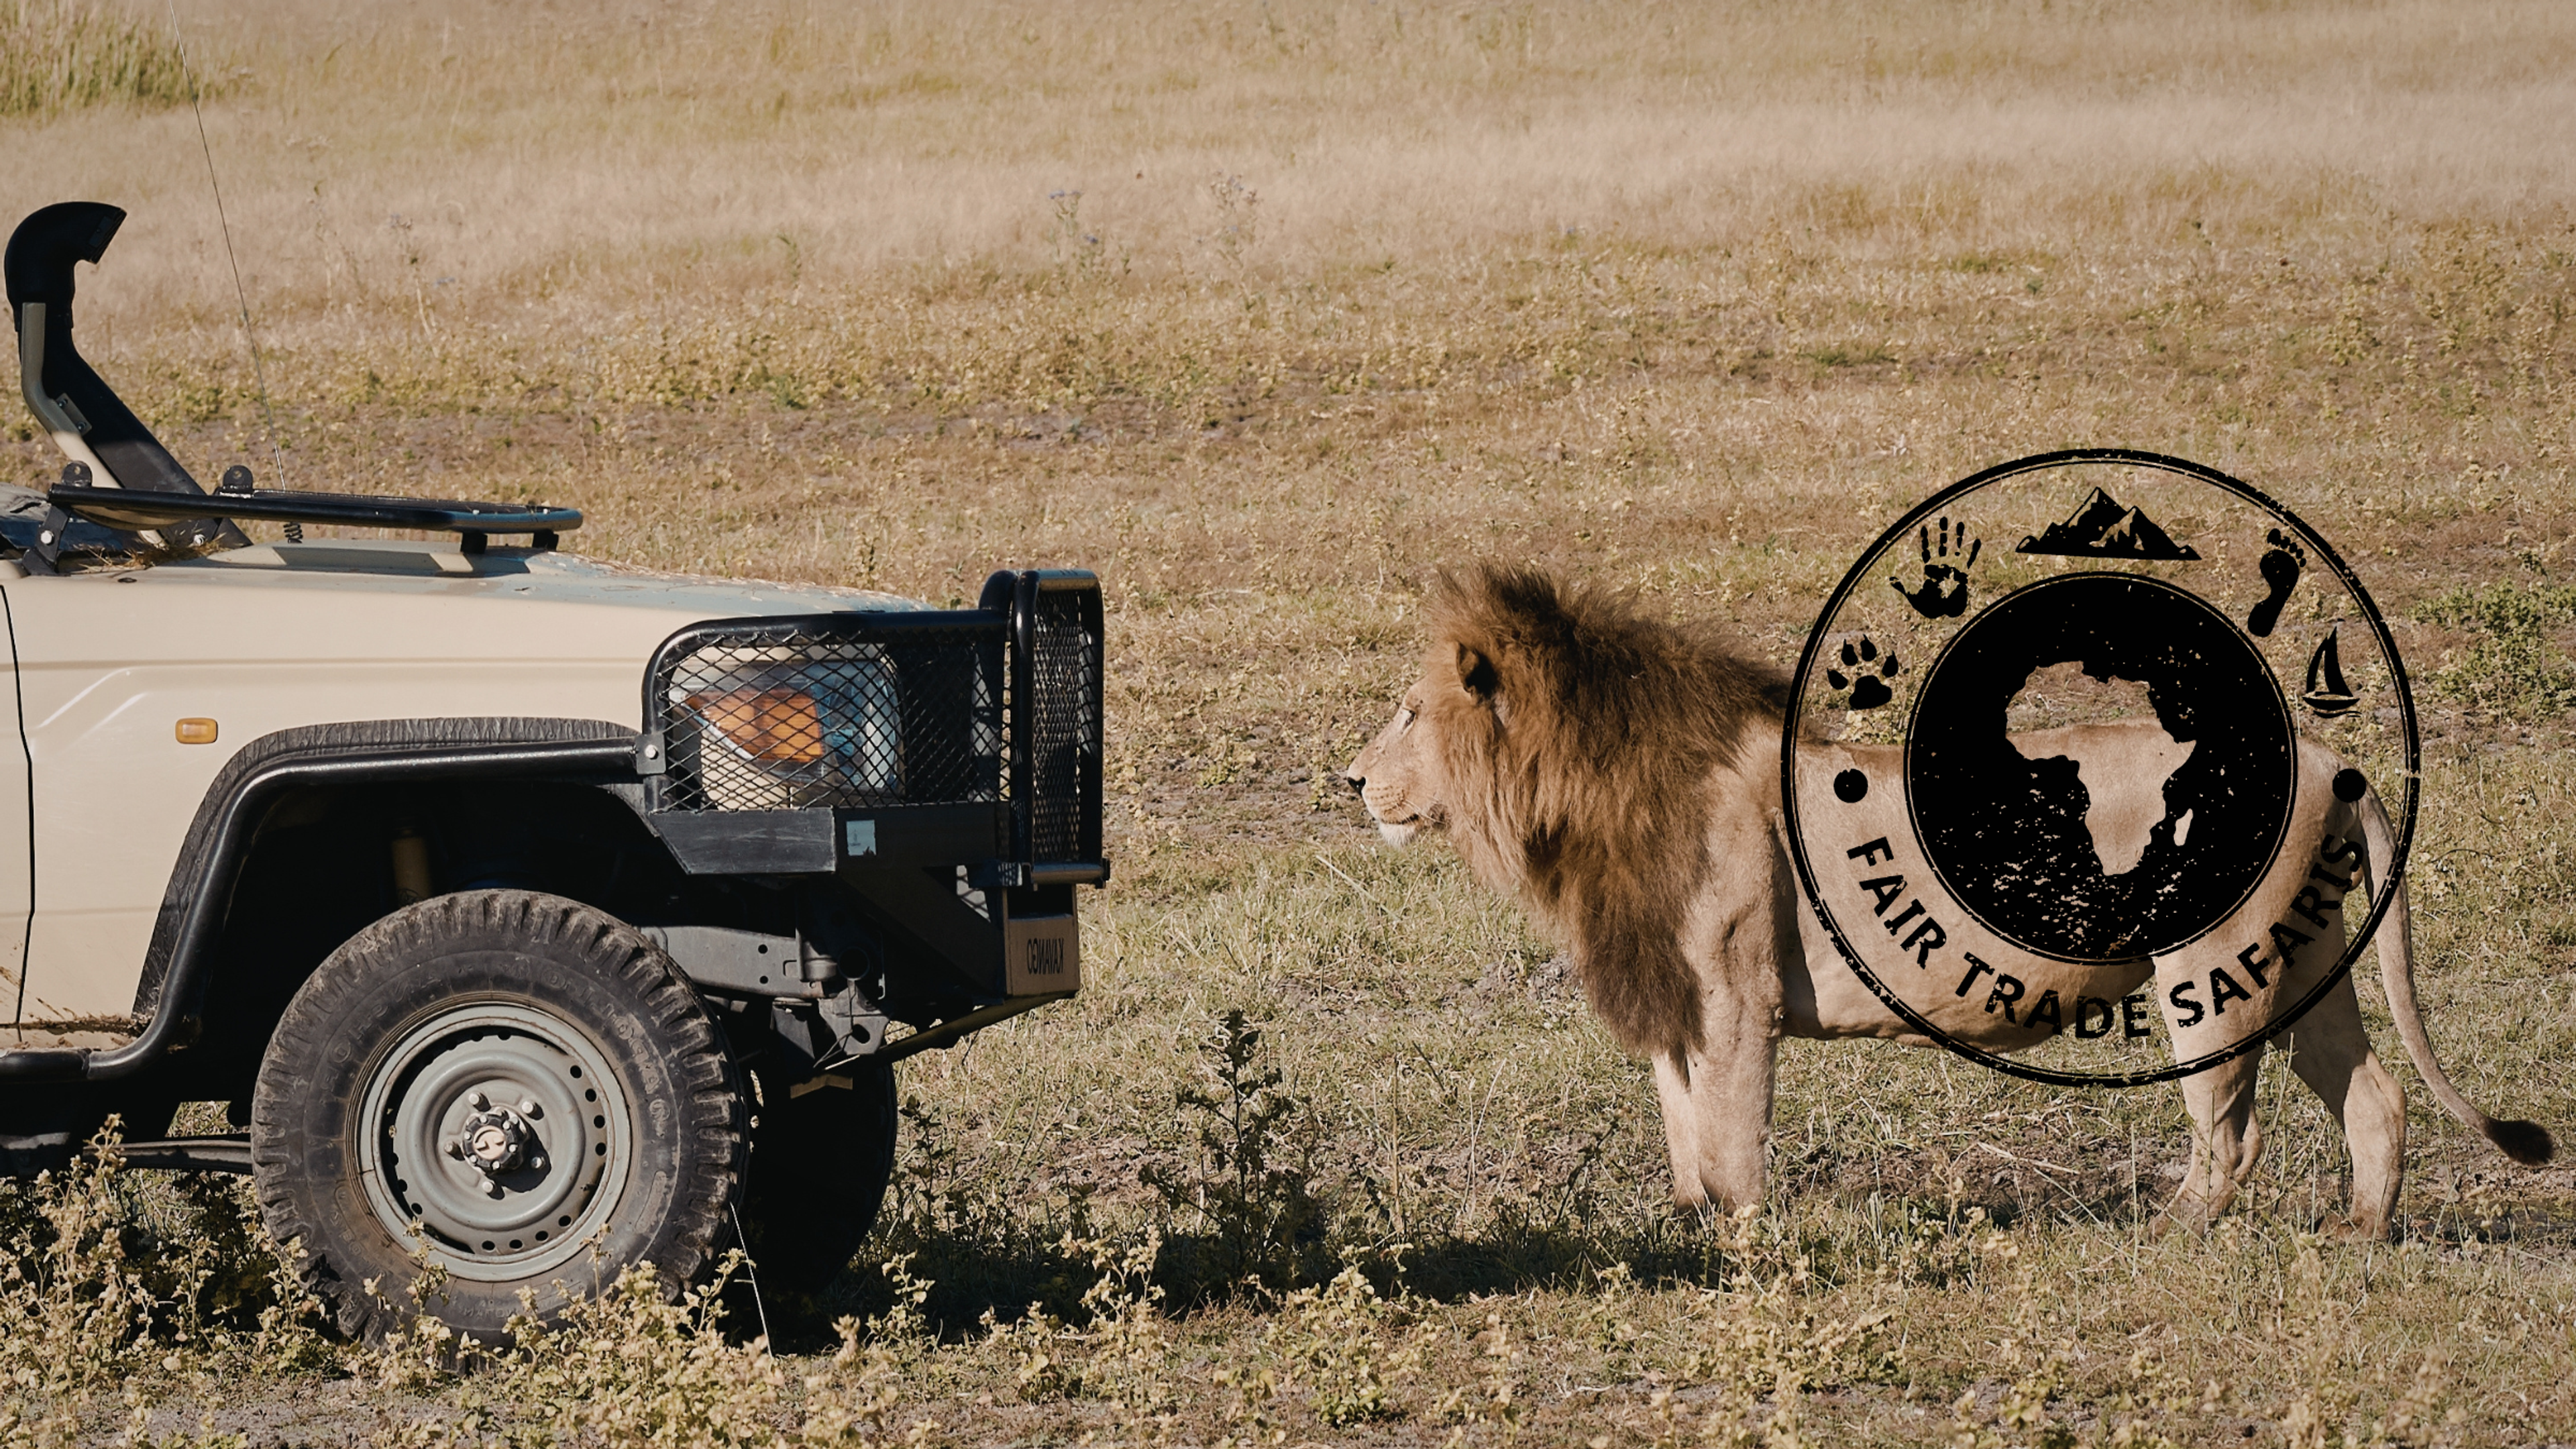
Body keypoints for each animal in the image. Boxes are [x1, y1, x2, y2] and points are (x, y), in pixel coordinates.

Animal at [1344, 564, 2552, 1238]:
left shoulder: (1733, 990)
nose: (1351, 779)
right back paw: (2359, 1232)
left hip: (2211, 971)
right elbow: (1682, 1118)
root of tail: (2330, 757)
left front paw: (1743, 1249)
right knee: (2373, 1095)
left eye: (1406, 712)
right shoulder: (1672, 989)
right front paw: (1688, 1234)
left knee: (2232, 1132)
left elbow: (1730, 1130)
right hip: (2300, 960)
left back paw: (2161, 1235)